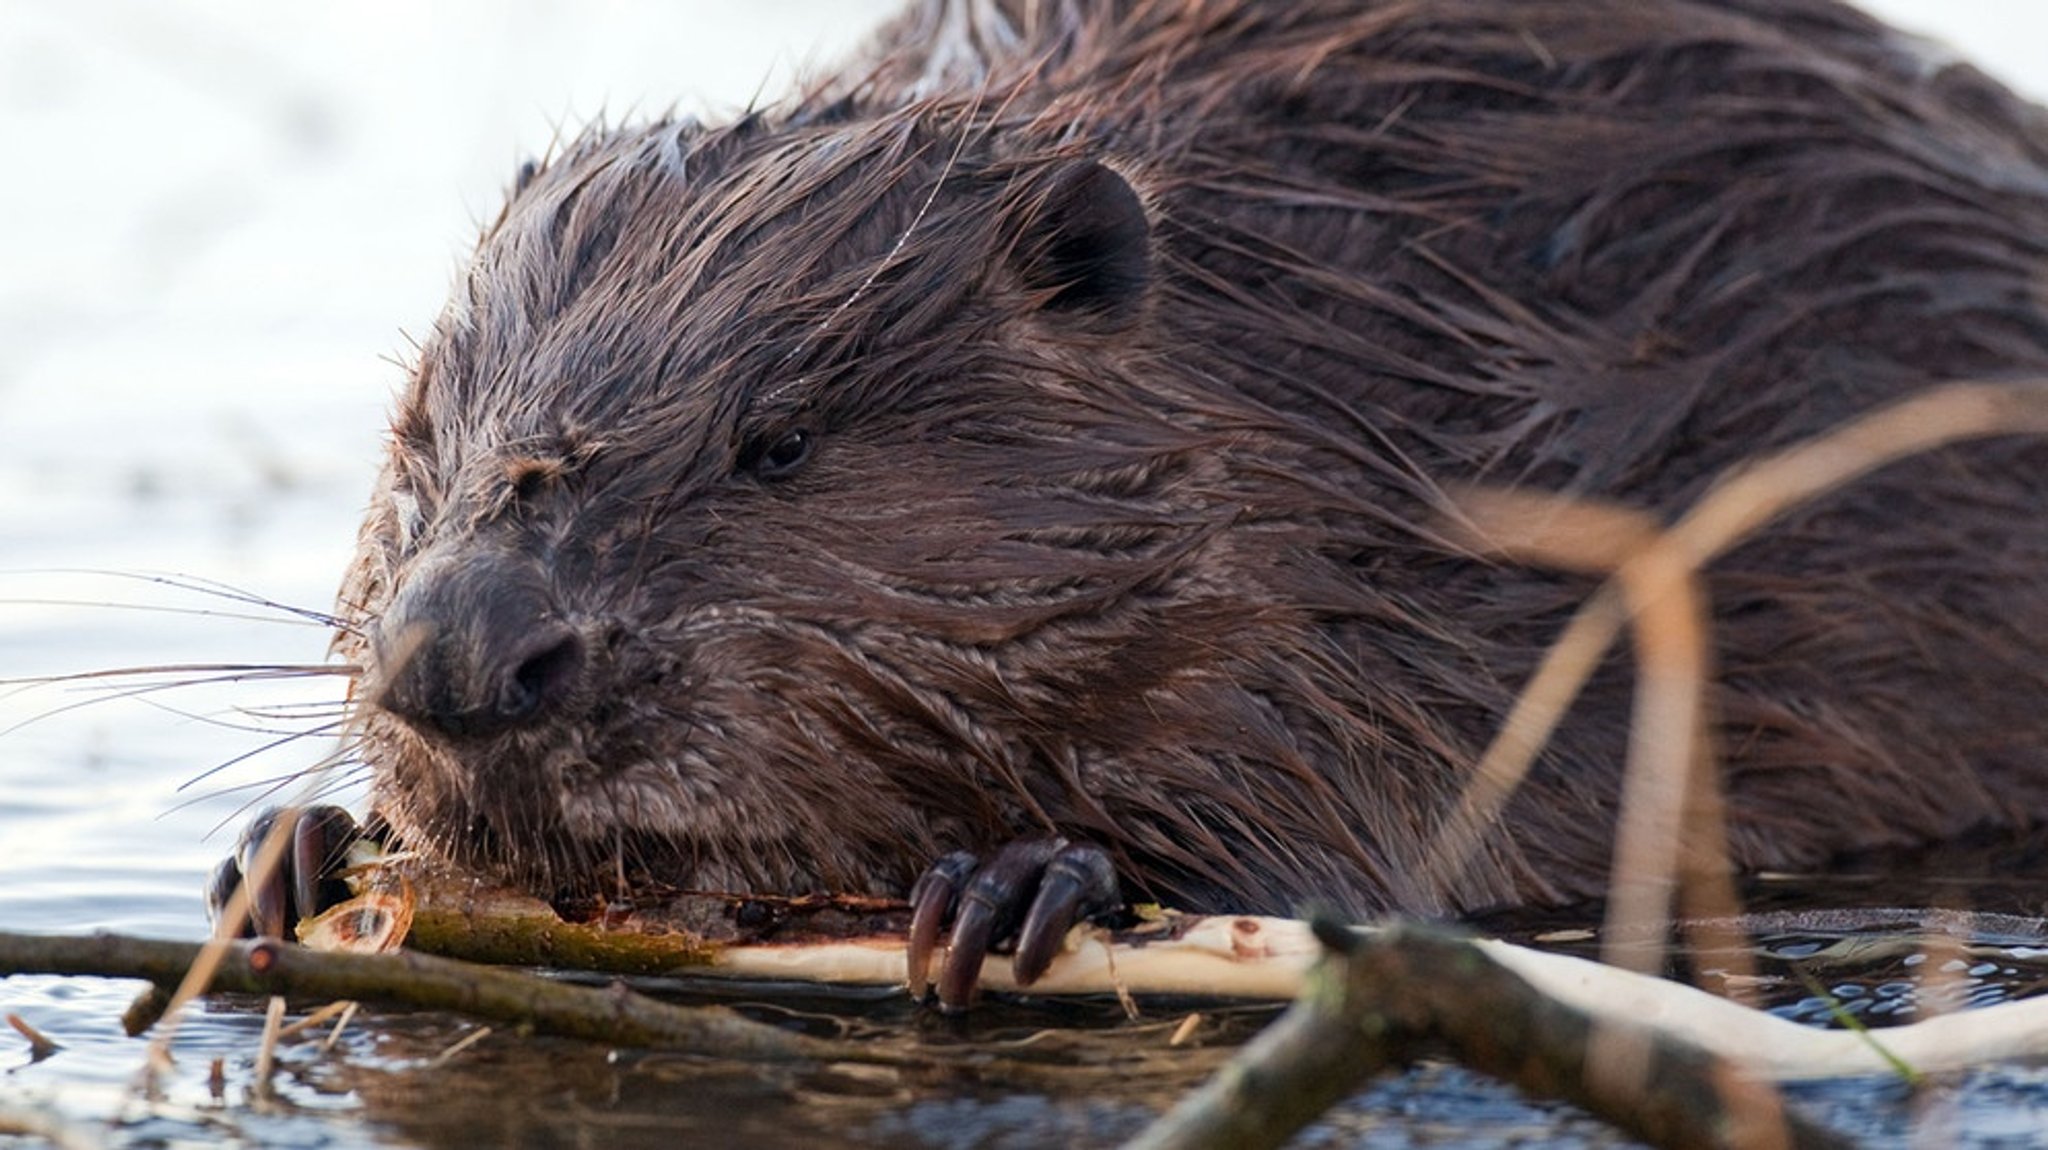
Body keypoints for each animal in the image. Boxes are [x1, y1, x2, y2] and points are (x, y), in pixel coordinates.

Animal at [211, 0, 2048, 1002]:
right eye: (422, 434)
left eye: (777, 442)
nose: (458, 660)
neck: (1302, 351)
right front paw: (292, 848)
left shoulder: (1387, 594)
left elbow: (1357, 838)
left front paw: (1021, 885)